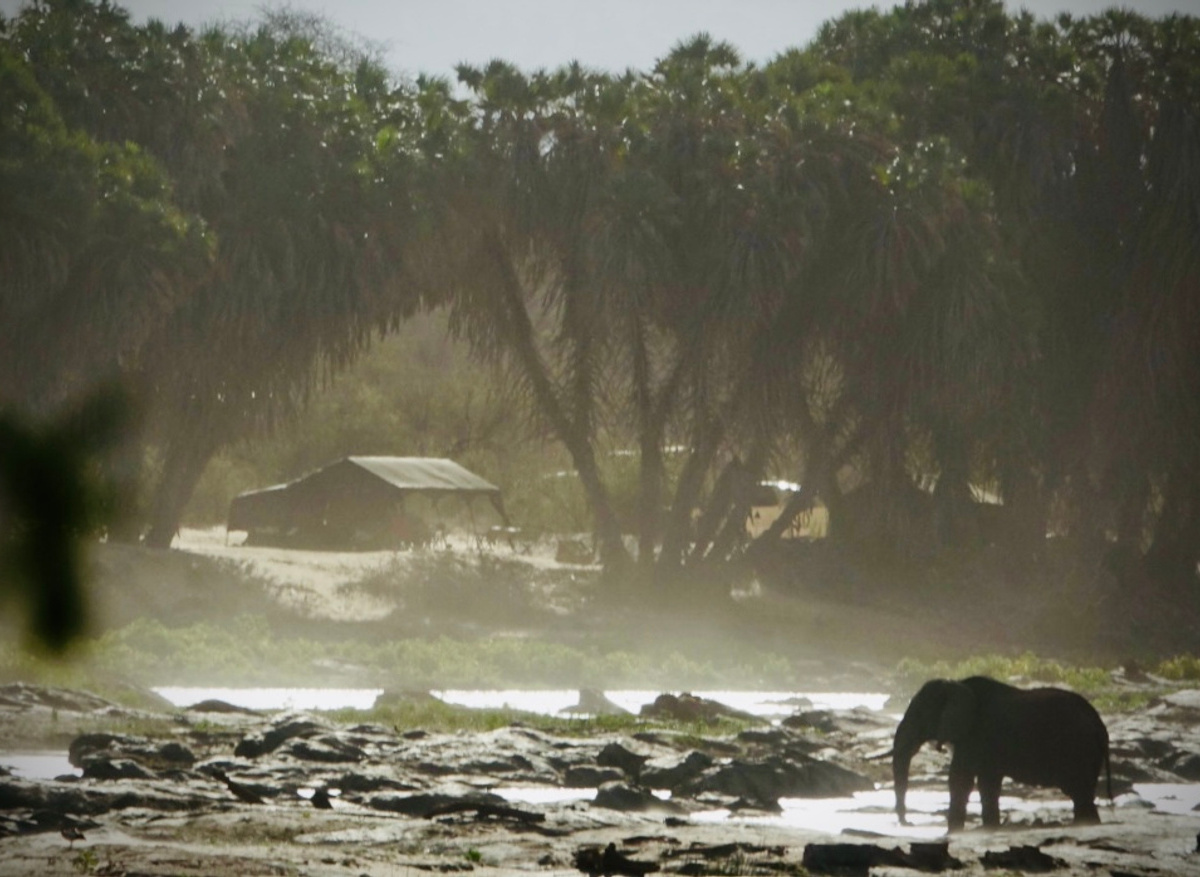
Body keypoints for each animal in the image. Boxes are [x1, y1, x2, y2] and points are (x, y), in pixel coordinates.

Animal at [892, 676, 1111, 831]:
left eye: (919, 715)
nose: (908, 823)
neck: (957, 684)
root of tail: (1099, 724)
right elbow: (987, 784)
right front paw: (989, 829)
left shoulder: (976, 735)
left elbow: (960, 780)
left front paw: (953, 833)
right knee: (1082, 795)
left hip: (1078, 748)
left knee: (1080, 793)